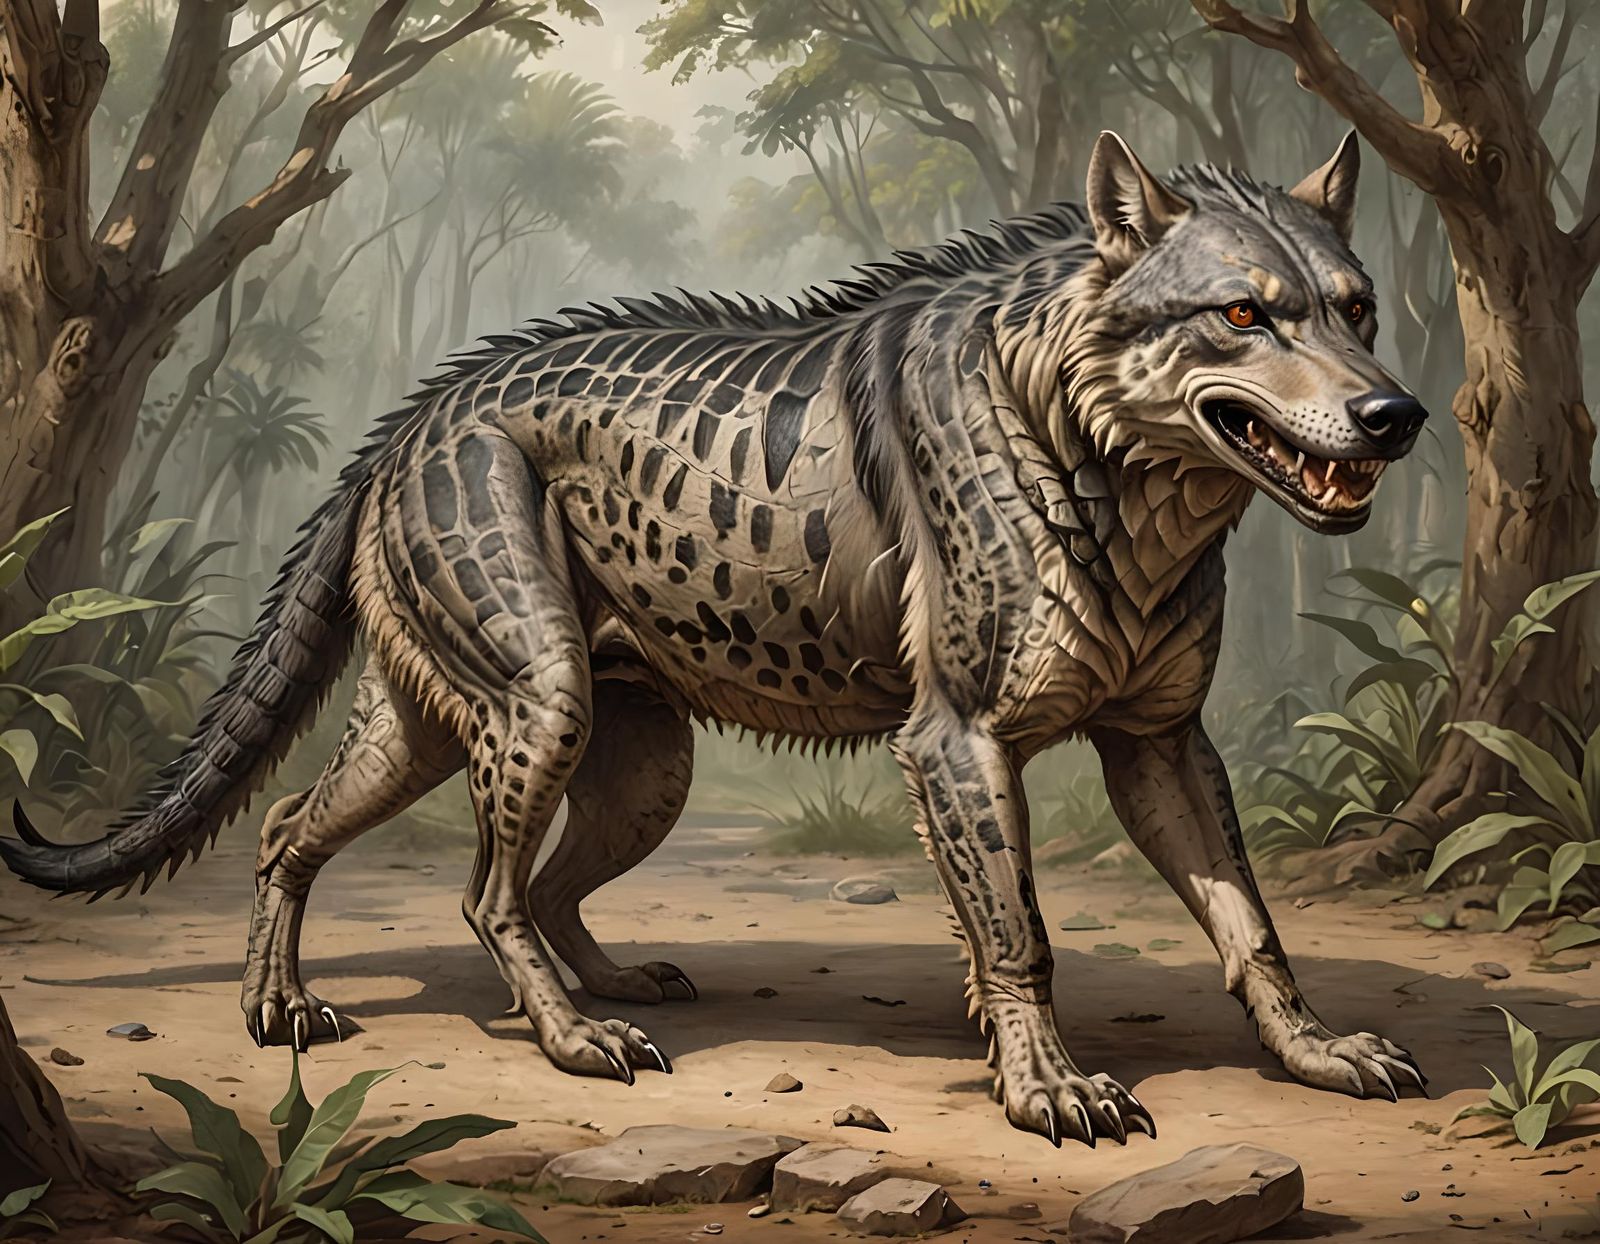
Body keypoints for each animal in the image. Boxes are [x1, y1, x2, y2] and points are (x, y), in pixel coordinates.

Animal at [2, 131, 1427, 1147]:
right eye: (1240, 314)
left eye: (1356, 305)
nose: (1395, 415)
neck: (1120, 461)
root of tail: (423, 406)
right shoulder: (957, 739)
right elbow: (1019, 926)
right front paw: (1049, 1087)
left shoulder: (1160, 741)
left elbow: (1248, 919)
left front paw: (1316, 1051)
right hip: (539, 698)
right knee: (481, 889)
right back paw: (565, 1035)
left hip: (594, 753)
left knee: (339, 833)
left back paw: (367, 998)